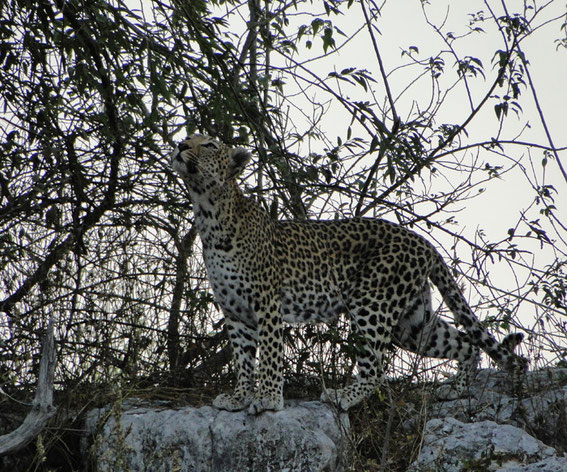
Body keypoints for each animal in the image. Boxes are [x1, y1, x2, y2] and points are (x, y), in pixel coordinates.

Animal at [170, 135, 528, 414]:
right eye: (188, 137)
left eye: (209, 144)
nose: (180, 145)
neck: (209, 213)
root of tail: (424, 242)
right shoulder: (235, 310)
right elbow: (243, 359)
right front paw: (240, 397)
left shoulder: (266, 303)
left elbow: (270, 352)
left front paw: (269, 399)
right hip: (411, 322)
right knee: (465, 343)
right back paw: (456, 390)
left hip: (372, 302)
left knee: (376, 371)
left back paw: (342, 396)